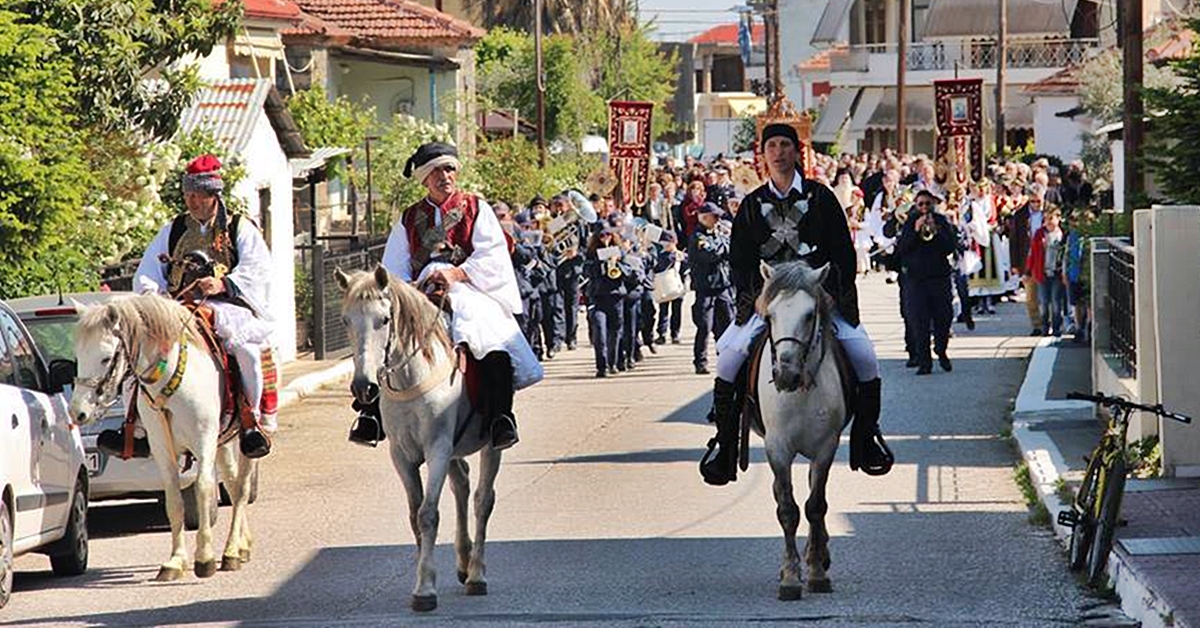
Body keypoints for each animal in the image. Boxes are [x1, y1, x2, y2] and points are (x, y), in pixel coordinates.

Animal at [68, 295, 255, 581]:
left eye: (106, 358)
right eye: (78, 356)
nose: (78, 412)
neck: (171, 383)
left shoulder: (203, 440)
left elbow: (203, 488)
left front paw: (204, 558)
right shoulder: (161, 447)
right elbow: (173, 498)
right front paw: (176, 561)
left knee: (242, 487)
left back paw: (232, 550)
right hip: (221, 443)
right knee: (234, 487)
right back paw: (240, 546)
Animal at [338, 266, 501, 614]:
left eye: (384, 319)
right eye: (345, 320)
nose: (363, 387)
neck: (412, 379)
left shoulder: (437, 448)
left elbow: (428, 514)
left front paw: (425, 588)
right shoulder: (401, 455)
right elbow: (415, 515)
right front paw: (422, 577)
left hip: (490, 445)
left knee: (482, 500)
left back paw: (476, 573)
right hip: (454, 450)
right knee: (461, 485)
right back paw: (464, 561)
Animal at [753, 259, 849, 600]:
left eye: (809, 315)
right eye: (770, 316)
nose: (786, 374)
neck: (801, 392)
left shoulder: (826, 447)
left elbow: (815, 506)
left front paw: (817, 571)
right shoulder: (777, 448)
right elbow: (788, 509)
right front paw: (791, 576)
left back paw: (818, 553)